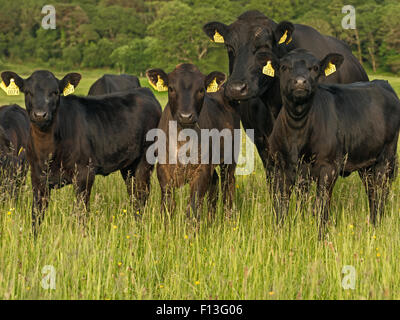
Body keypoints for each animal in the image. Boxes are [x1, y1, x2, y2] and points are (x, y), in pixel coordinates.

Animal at [1, 70, 161, 235]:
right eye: (28, 92)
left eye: (55, 92)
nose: (40, 115)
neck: (47, 151)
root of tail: (144, 91)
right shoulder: (37, 177)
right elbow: (37, 214)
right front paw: (35, 238)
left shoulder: (85, 173)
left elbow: (81, 212)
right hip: (129, 165)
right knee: (133, 193)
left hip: (145, 160)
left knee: (141, 195)